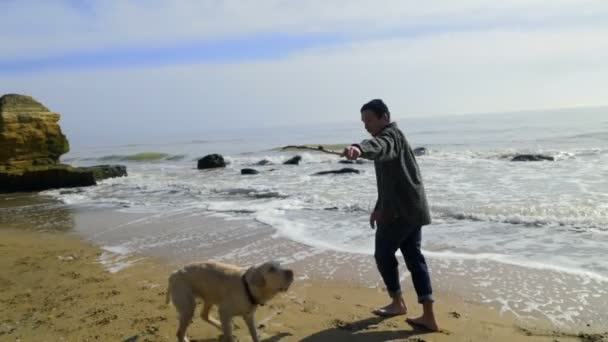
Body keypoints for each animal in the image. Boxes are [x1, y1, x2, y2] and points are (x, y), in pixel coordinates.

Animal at [164, 260, 292, 340]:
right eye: (271, 269)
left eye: (280, 264)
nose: (291, 272)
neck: (247, 287)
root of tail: (173, 274)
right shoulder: (224, 312)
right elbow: (229, 338)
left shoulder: (249, 316)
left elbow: (254, 334)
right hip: (188, 307)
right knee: (180, 333)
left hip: (209, 296)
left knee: (204, 315)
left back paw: (222, 326)